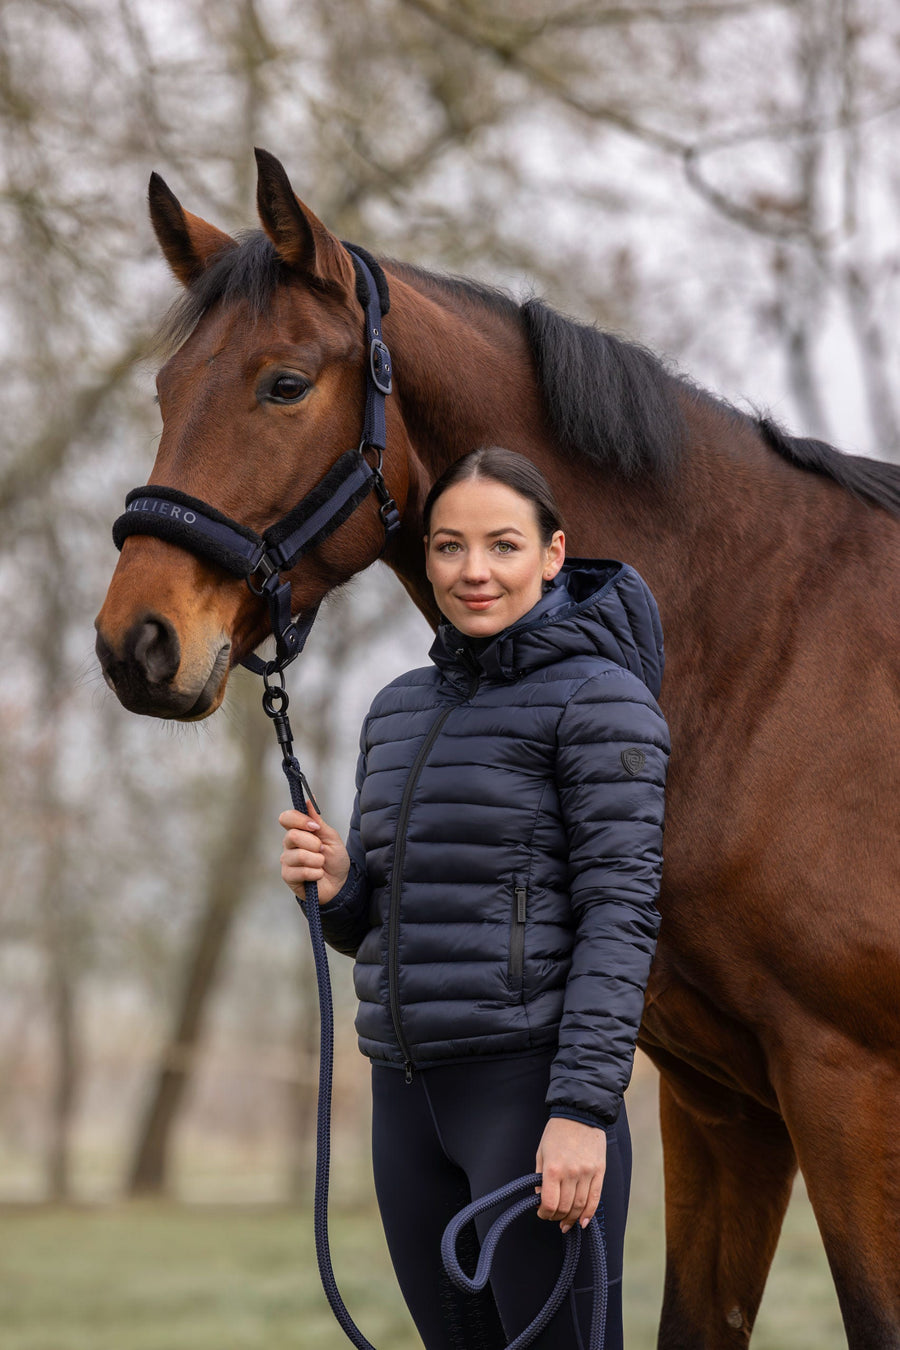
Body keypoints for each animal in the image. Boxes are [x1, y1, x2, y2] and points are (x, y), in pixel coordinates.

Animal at [95, 149, 900, 1348]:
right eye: (164, 389)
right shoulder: (723, 1106)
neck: (770, 653)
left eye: (284, 384)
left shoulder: (847, 1088)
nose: (135, 643)